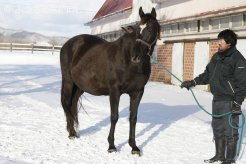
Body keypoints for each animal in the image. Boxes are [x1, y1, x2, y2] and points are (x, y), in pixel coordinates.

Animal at [59, 6, 160, 155]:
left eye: (151, 28)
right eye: (137, 29)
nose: (135, 56)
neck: (128, 61)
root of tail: (68, 44)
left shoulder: (138, 92)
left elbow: (133, 118)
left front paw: (134, 146)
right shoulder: (115, 91)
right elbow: (114, 116)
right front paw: (111, 146)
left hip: (80, 87)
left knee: (72, 104)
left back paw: (74, 132)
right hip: (68, 82)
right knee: (66, 104)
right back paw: (71, 133)